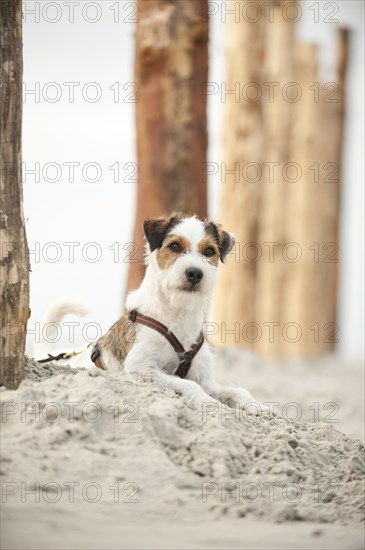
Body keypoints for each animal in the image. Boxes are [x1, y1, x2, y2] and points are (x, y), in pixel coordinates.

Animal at [37, 213, 264, 412]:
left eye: (209, 251)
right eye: (175, 246)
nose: (194, 273)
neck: (177, 314)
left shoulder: (205, 379)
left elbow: (239, 391)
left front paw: (259, 407)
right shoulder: (141, 367)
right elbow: (189, 384)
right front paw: (209, 403)